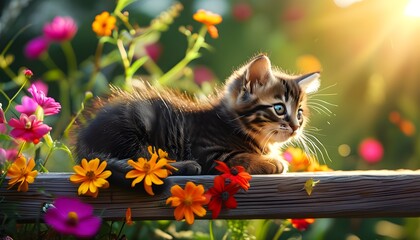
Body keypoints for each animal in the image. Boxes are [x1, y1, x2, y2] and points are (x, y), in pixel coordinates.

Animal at [75, 54, 320, 182]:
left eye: (299, 113)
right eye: (279, 108)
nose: (295, 126)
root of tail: (83, 142)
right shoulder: (210, 153)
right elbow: (242, 158)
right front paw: (271, 162)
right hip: (133, 127)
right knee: (143, 163)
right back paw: (185, 166)